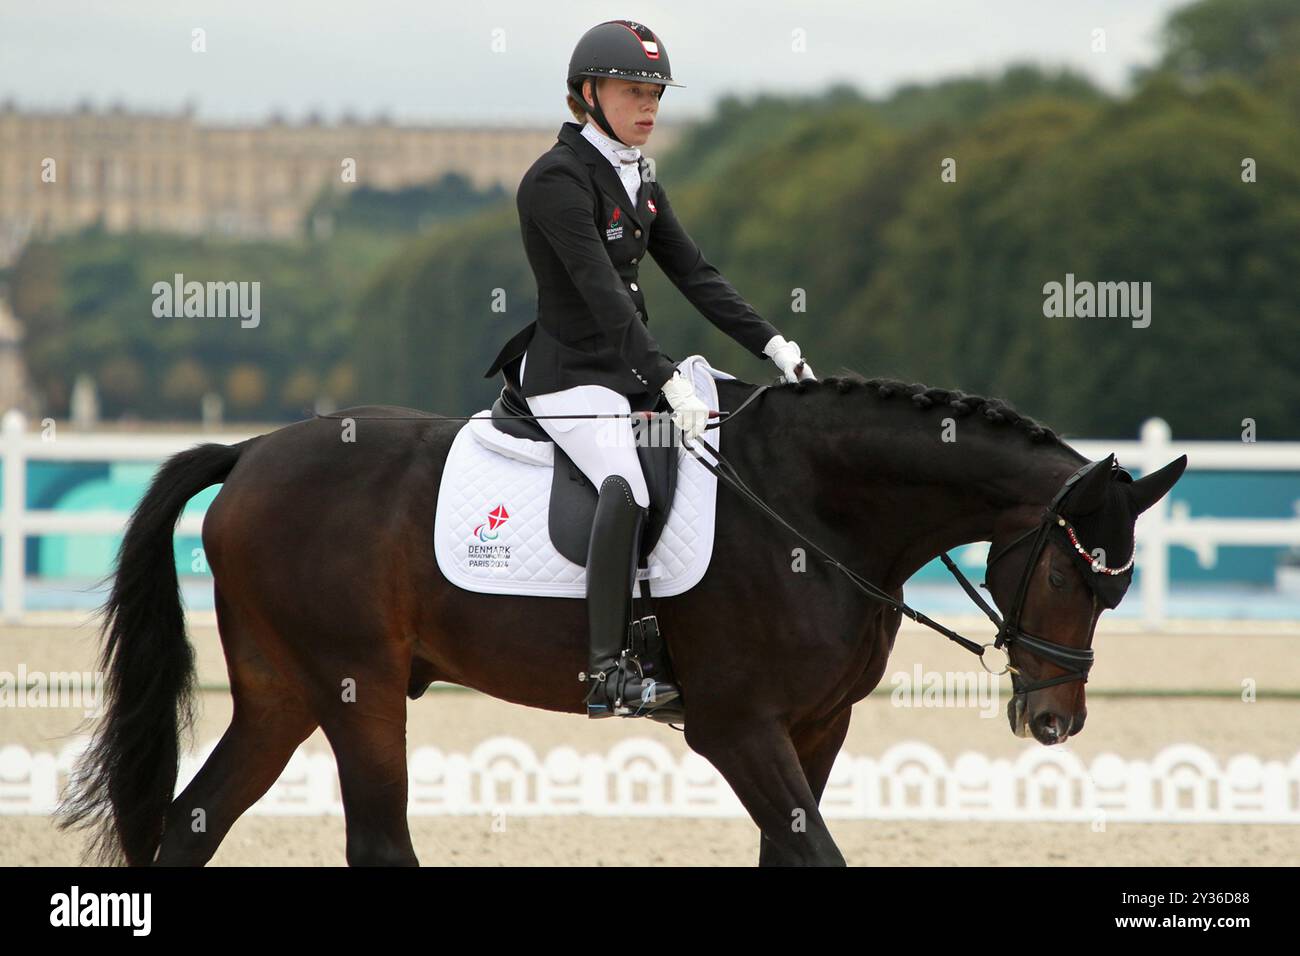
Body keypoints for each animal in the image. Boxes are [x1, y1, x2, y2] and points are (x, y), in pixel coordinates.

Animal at [55, 374, 1185, 868]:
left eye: (1116, 590)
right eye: (1072, 573)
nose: (1054, 721)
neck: (816, 508)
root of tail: (249, 452)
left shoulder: (817, 726)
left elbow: (792, 854)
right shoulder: (736, 725)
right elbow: (817, 854)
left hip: (283, 690)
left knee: (193, 822)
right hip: (356, 687)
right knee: (375, 841)